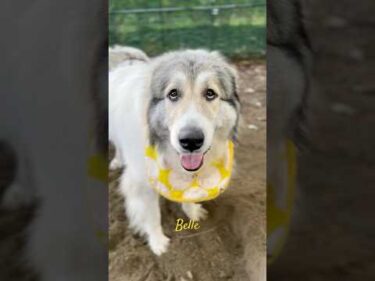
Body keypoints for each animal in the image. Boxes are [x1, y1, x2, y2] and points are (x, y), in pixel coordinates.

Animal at [110, 47, 242, 254]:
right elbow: (152, 215)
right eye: (173, 94)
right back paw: (117, 160)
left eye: (210, 93)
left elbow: (187, 193)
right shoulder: (141, 184)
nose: (191, 141)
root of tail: (126, 58)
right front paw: (158, 243)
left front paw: (192, 211)